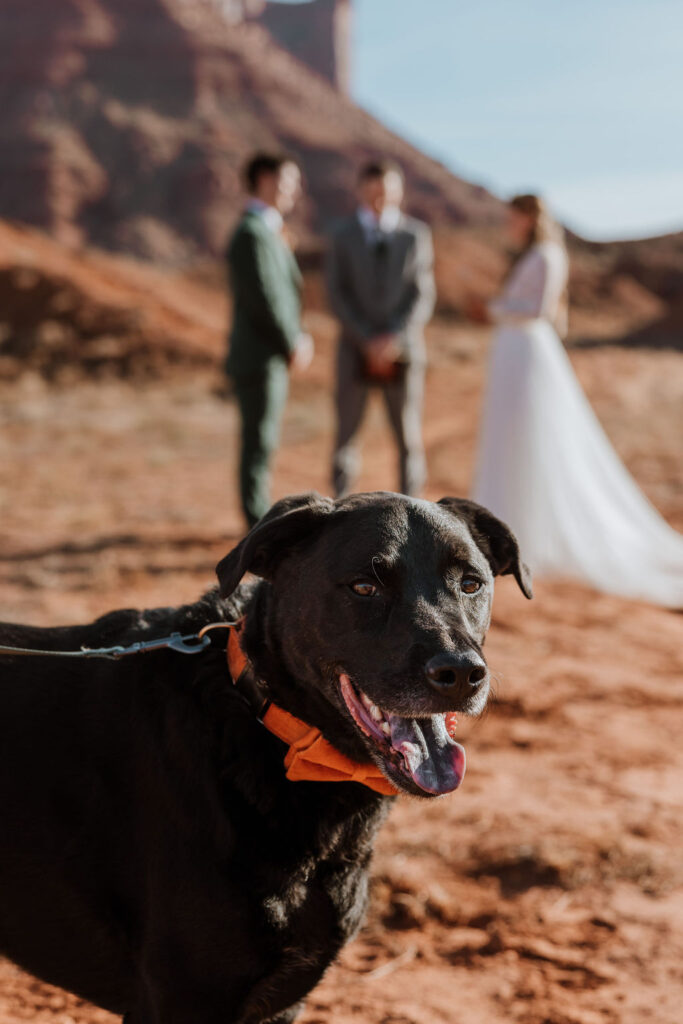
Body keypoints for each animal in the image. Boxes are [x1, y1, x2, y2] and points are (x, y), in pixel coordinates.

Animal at [0, 491, 532, 1019]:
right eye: (364, 587)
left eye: (471, 584)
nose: (462, 674)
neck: (260, 718)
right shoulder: (183, 999)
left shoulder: (280, 1000)